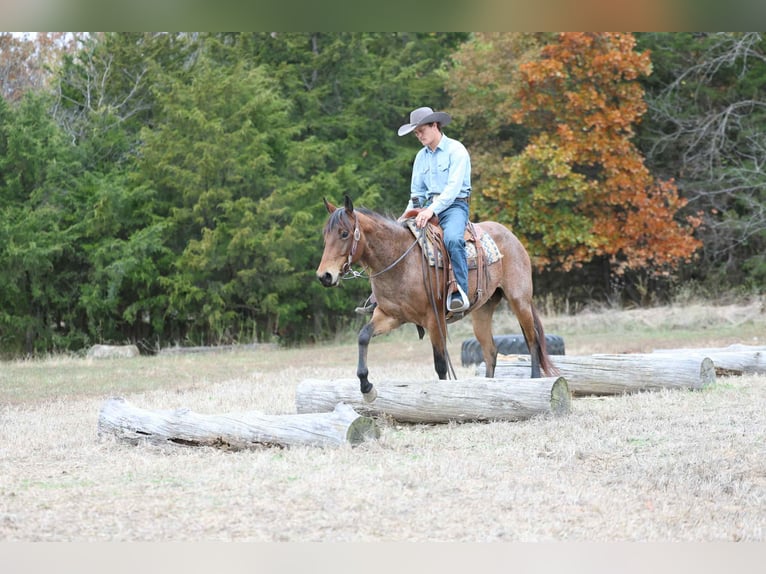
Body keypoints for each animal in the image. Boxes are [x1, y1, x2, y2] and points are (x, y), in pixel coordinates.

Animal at [316, 195, 557, 402]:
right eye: (325, 235)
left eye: (344, 233)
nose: (324, 276)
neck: (400, 261)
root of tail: (510, 235)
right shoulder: (390, 316)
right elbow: (363, 336)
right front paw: (366, 387)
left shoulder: (434, 319)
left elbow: (440, 364)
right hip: (483, 310)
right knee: (490, 351)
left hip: (519, 300)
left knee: (532, 340)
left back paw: (535, 380)